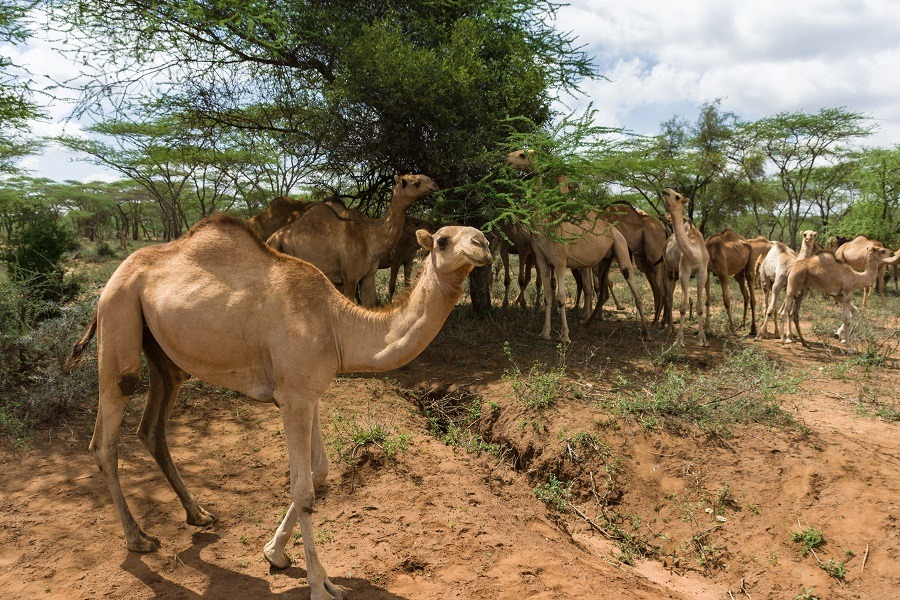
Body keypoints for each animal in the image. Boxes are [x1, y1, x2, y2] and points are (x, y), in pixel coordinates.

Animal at [65, 213, 492, 596]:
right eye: (442, 240)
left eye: (479, 232)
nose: (483, 245)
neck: (337, 325)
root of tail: (111, 279)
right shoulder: (293, 398)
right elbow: (303, 489)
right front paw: (320, 585)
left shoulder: (309, 390)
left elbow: (320, 470)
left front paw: (275, 553)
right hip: (119, 315)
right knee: (107, 431)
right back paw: (138, 538)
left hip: (163, 355)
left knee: (152, 426)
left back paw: (198, 514)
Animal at [266, 172, 438, 304]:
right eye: (416, 182)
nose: (434, 184)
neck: (370, 238)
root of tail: (272, 238)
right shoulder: (349, 278)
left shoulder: (368, 277)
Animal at [660, 188, 712, 346]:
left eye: (677, 196)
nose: (665, 190)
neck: (694, 252)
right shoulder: (685, 272)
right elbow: (682, 307)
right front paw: (679, 339)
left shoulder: (702, 273)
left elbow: (699, 306)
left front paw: (702, 338)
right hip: (669, 270)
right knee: (669, 298)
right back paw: (670, 328)